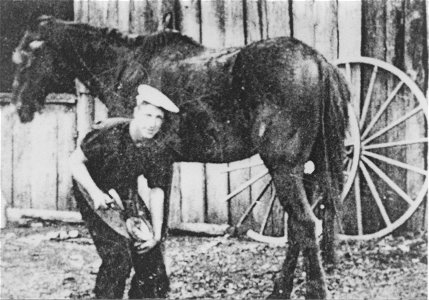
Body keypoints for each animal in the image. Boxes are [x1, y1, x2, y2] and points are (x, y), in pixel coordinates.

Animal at [12, 16, 348, 300]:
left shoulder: (155, 160)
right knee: (298, 229)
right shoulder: (165, 163)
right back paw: (280, 289)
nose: (19, 108)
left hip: (283, 168)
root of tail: (316, 59)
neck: (126, 65)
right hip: (307, 170)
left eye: (26, 59)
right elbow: (160, 220)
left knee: (305, 224)